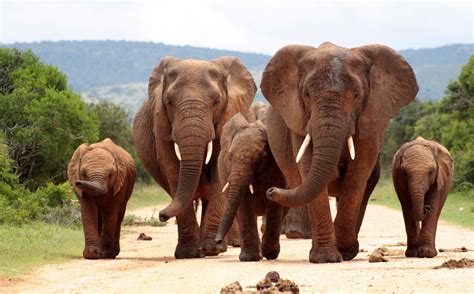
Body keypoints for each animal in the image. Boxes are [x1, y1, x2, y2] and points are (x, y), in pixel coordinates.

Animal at [131, 55, 258, 258]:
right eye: (169, 103)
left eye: (216, 102)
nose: (161, 215)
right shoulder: (161, 124)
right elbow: (173, 170)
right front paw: (188, 254)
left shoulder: (226, 115)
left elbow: (218, 170)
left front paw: (212, 249)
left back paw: (214, 248)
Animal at [215, 103, 286, 262]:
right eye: (230, 158)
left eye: (259, 160)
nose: (217, 241)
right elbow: (243, 203)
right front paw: (249, 258)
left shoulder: (277, 167)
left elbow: (274, 203)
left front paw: (269, 254)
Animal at [260, 40, 418, 262]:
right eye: (306, 95)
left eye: (357, 95)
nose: (271, 190)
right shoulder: (300, 119)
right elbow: (308, 168)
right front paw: (325, 258)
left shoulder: (371, 119)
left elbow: (357, 175)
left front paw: (343, 252)